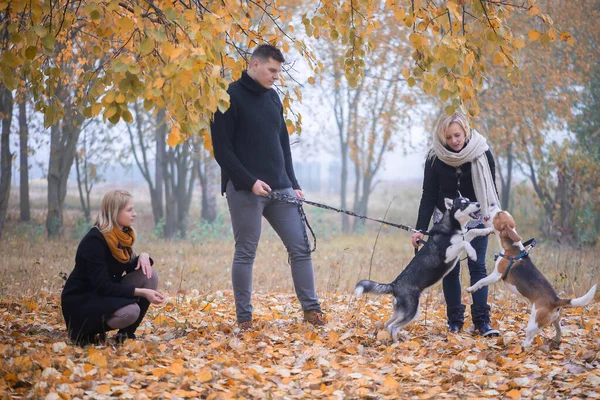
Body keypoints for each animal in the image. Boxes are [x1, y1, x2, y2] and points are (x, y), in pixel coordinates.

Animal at [466, 205, 596, 348]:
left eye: (499, 214)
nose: (493, 204)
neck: (512, 249)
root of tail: (556, 300)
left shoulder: (496, 275)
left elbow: (481, 281)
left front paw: (471, 288)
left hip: (534, 323)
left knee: (529, 341)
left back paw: (521, 348)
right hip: (555, 320)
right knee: (559, 331)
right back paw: (555, 342)